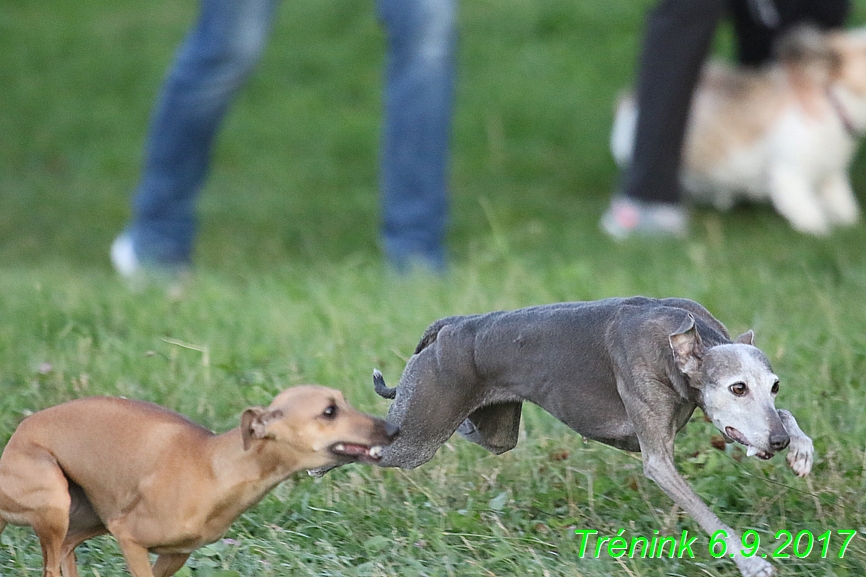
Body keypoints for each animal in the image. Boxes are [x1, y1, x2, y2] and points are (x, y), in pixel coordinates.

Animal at [0, 384, 396, 572]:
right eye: (329, 411)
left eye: (345, 400)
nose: (393, 429)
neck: (216, 468)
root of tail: (16, 436)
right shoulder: (130, 537)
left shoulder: (175, 555)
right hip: (56, 503)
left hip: (87, 519)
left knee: (67, 554)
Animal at [612, 25, 864, 234]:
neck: (832, 104)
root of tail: (630, 98)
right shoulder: (790, 172)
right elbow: (808, 211)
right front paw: (820, 230)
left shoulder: (831, 172)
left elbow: (843, 203)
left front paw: (848, 221)